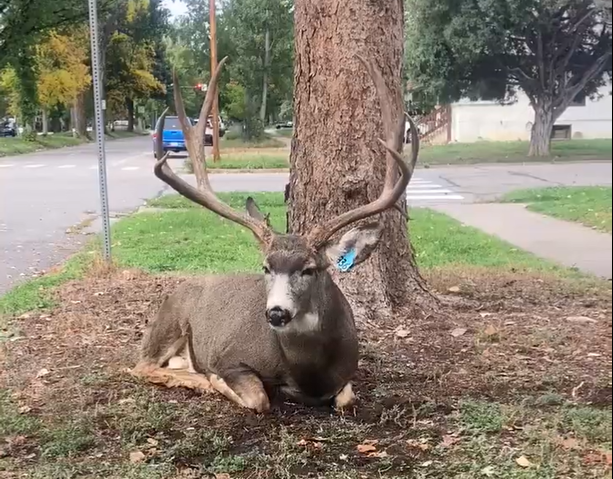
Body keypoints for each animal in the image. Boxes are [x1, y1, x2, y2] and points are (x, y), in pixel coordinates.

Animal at [128, 54, 416, 414]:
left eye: (310, 269)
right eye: (265, 267)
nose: (276, 312)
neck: (309, 374)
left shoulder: (348, 372)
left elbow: (346, 399)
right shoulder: (231, 357)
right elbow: (258, 398)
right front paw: (216, 381)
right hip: (171, 320)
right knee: (141, 365)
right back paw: (197, 377)